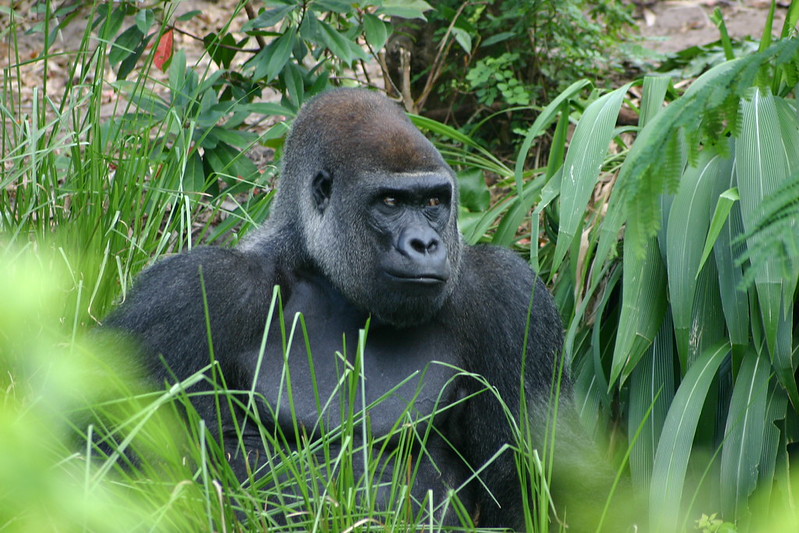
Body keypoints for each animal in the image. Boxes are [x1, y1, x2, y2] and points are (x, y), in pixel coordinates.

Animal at [103, 88, 603, 530]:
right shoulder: (192, 290)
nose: (426, 244)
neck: (328, 278)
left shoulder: (512, 298)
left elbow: (538, 487)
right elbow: (102, 440)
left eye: (435, 201)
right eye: (390, 202)